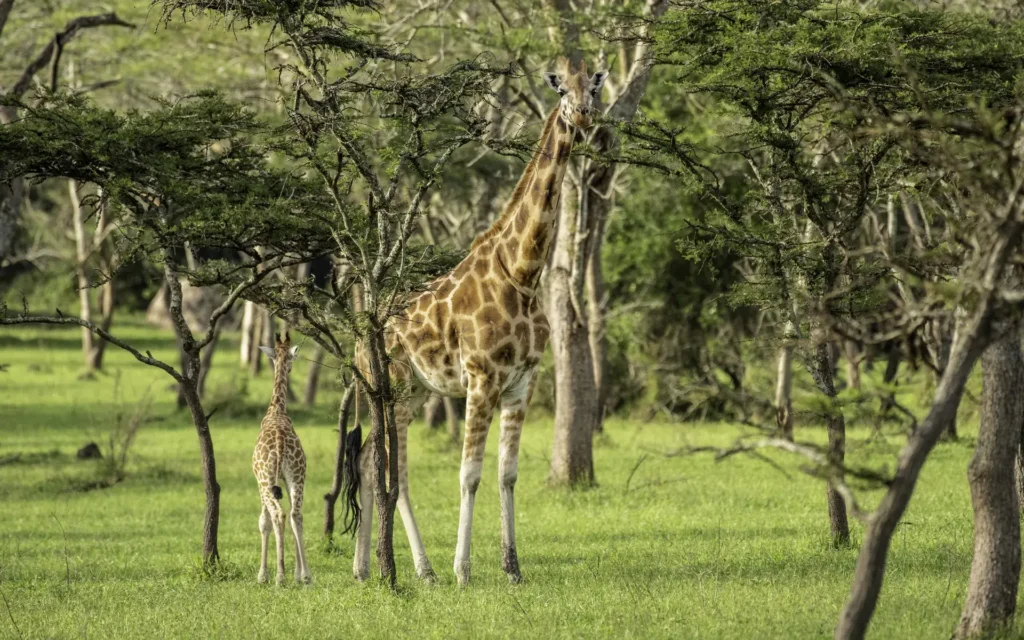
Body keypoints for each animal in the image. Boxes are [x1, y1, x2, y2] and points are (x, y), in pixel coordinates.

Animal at [351, 57, 607, 586]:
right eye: (561, 89)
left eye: (593, 87)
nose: (583, 115)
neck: (523, 274)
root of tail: (358, 330)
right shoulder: (482, 377)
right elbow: (469, 474)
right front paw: (463, 570)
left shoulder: (522, 381)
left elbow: (507, 473)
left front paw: (513, 568)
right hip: (390, 387)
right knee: (389, 469)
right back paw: (423, 570)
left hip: (414, 391)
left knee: (368, 461)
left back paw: (368, 569)